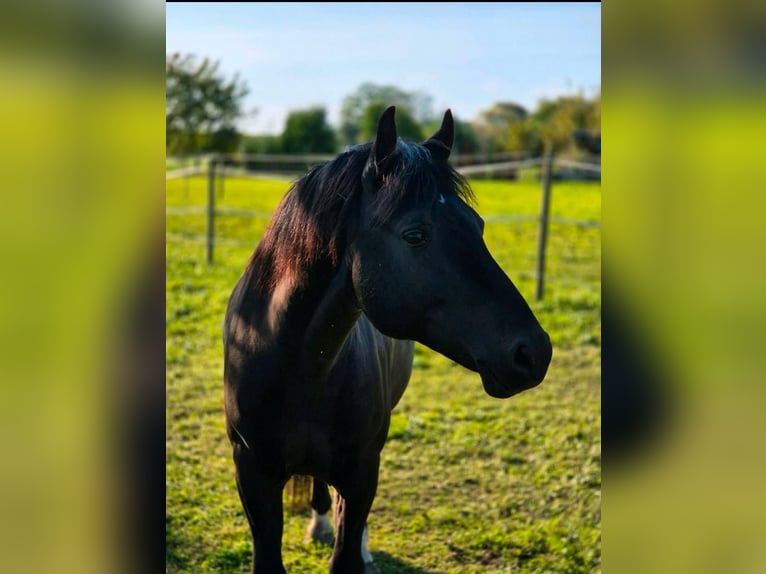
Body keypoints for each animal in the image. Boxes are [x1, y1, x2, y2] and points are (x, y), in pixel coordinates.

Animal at [223, 106, 552, 574]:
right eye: (415, 234)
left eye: (478, 225)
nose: (534, 352)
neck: (293, 365)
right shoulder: (252, 475)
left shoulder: (361, 474)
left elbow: (346, 553)